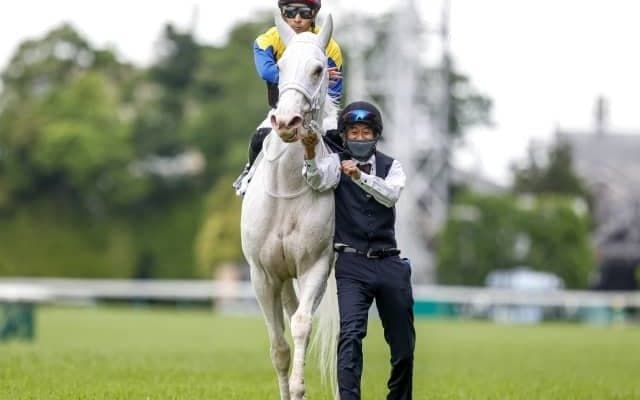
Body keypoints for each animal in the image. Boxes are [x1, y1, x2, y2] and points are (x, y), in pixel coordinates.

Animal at [240, 13, 340, 400]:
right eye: (279, 67)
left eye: (319, 69)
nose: (286, 122)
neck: (287, 188)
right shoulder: (263, 275)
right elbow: (279, 346)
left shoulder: (316, 267)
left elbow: (301, 327)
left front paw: (299, 387)